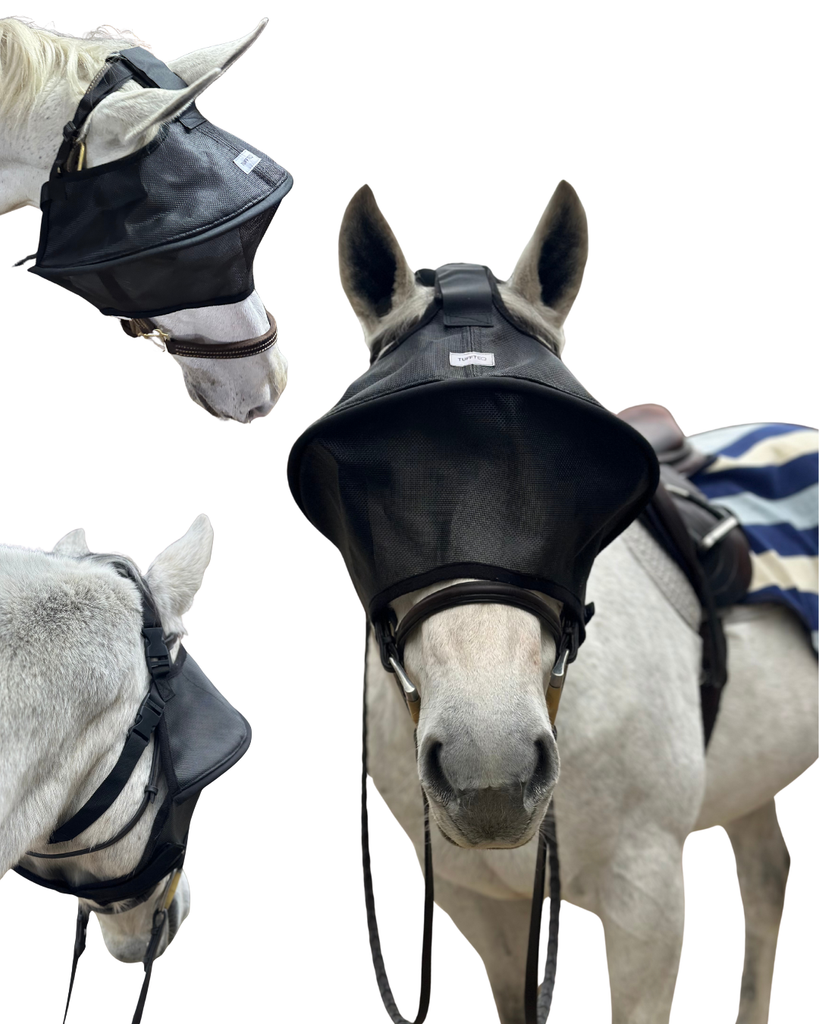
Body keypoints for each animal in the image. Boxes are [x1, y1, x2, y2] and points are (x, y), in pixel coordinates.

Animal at [336, 182, 818, 1024]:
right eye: (376, 480)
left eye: (568, 474)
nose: (489, 768)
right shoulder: (482, 913)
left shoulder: (647, 906)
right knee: (766, 873)